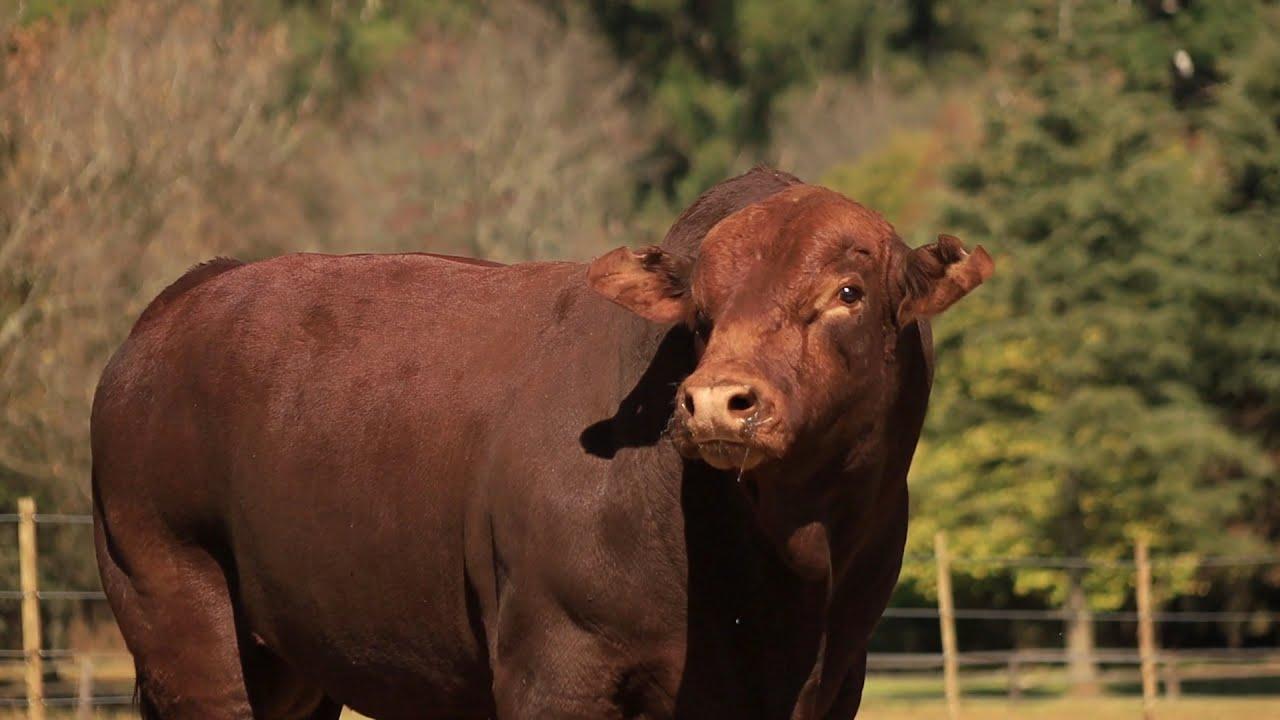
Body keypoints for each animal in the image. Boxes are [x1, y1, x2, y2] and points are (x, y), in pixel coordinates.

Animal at [91, 167, 992, 719]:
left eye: (848, 291)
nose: (715, 401)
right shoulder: (555, 665)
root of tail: (184, 298)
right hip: (170, 594)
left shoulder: (835, 680)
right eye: (700, 311)